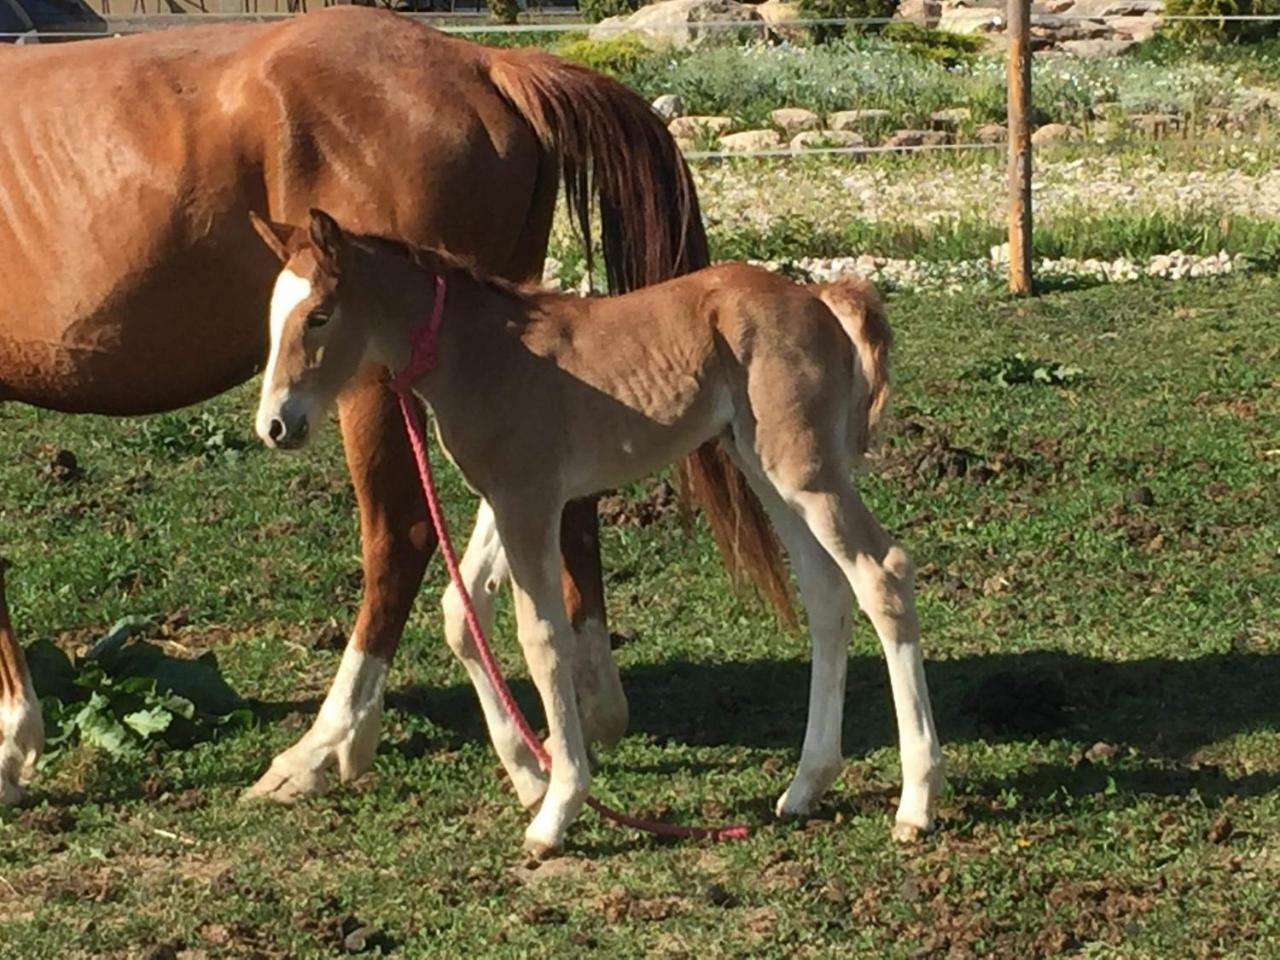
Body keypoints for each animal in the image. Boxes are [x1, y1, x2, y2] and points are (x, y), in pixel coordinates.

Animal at [0, 7, 788, 808]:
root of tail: (488, 64)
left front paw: (14, 745)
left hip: (378, 385)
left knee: (399, 537)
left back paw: (326, 746)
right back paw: (586, 710)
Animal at [257, 212, 942, 855]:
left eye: (319, 315)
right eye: (270, 318)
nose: (275, 426)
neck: (477, 351)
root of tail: (820, 297)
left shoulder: (528, 500)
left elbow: (541, 638)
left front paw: (557, 809)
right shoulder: (507, 499)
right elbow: (461, 613)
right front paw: (530, 774)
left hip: (803, 471)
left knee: (882, 574)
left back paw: (915, 803)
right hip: (766, 469)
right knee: (827, 593)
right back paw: (805, 786)